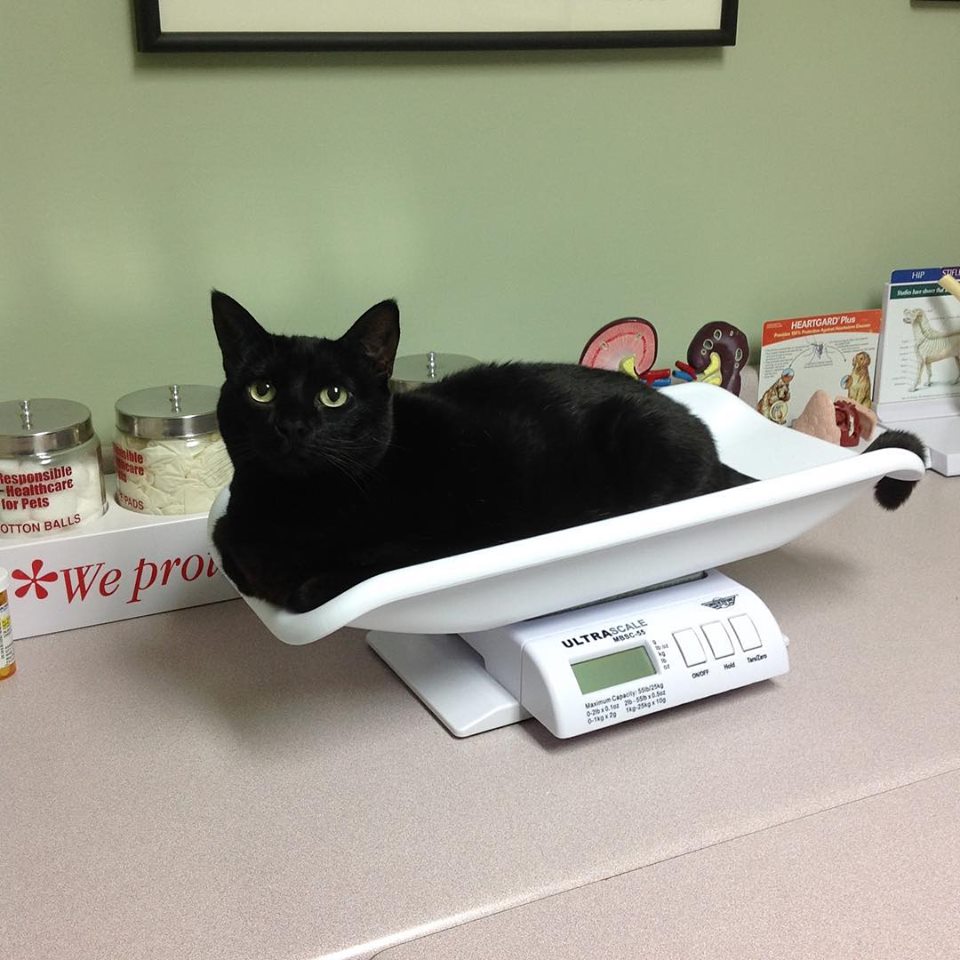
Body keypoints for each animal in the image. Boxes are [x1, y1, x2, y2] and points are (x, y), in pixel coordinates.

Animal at [212, 288, 924, 612]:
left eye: (333, 395)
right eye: (261, 390)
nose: (292, 427)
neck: (296, 509)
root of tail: (701, 428)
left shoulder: (446, 540)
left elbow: (328, 579)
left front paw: (303, 579)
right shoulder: (232, 531)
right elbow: (227, 545)